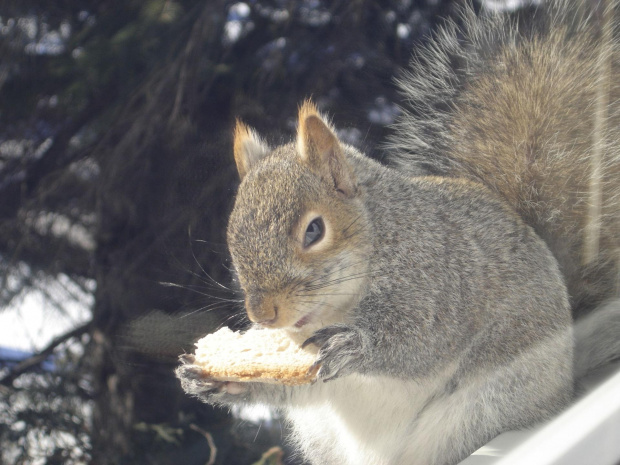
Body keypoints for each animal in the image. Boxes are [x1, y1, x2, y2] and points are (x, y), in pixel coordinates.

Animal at [176, 1, 620, 462]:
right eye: (232, 236)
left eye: (314, 231)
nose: (263, 315)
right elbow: (290, 385)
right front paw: (209, 376)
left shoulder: (444, 284)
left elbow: (421, 340)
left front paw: (356, 345)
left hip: (487, 405)